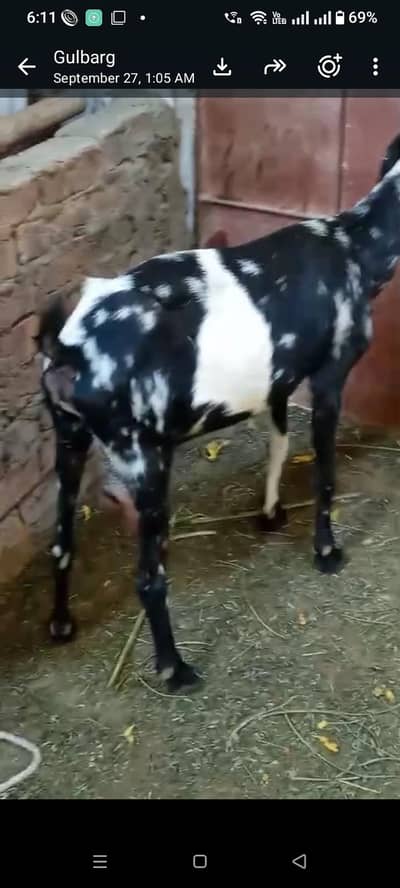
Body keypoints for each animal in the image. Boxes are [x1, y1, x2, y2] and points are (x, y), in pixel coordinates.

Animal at [37, 133, 400, 691]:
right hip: (144, 457)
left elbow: (278, 444)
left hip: (68, 437)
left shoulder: (275, 382)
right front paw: (327, 552)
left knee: (62, 543)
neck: (353, 246)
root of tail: (69, 346)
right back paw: (176, 669)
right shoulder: (329, 377)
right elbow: (325, 474)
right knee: (149, 577)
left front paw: (271, 513)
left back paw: (61, 626)